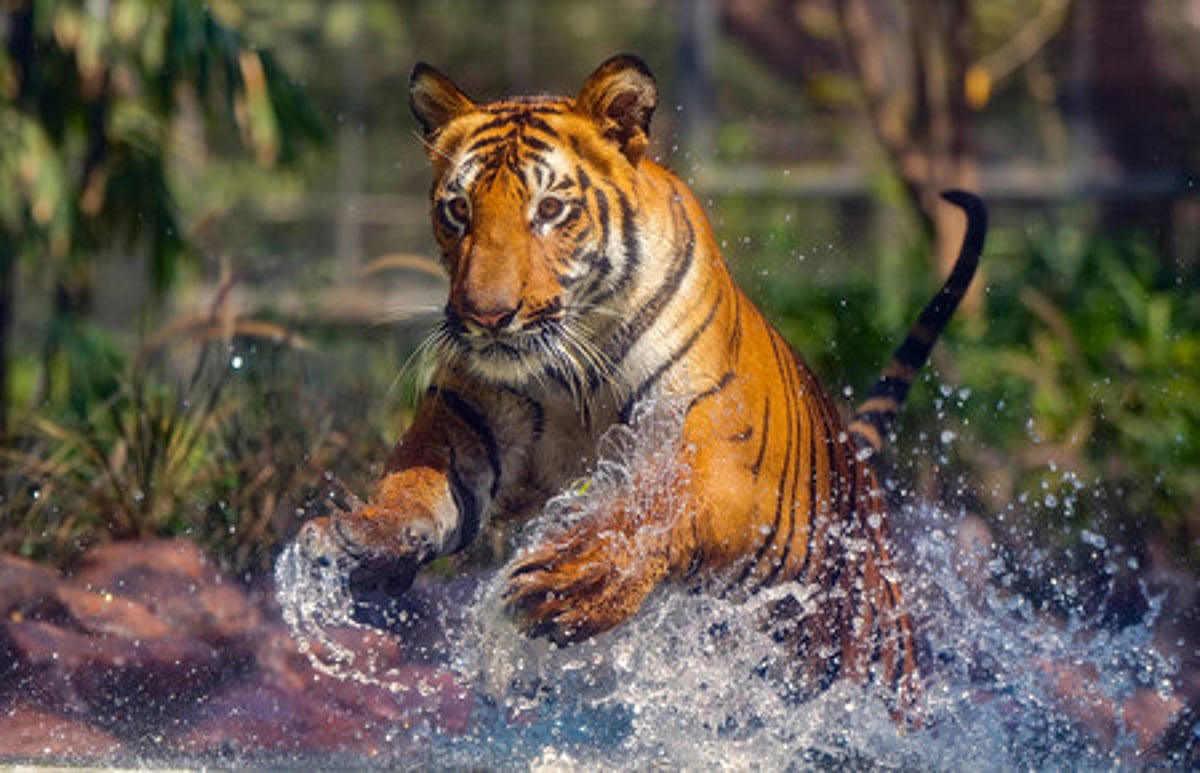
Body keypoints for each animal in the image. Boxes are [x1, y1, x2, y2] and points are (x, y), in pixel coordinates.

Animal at [293, 54, 986, 714]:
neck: (573, 368)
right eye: (458, 210)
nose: (486, 317)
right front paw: (357, 540)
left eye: (549, 210)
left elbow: (663, 503)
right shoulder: (468, 422)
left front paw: (575, 581)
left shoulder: (714, 451)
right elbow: (415, 486)